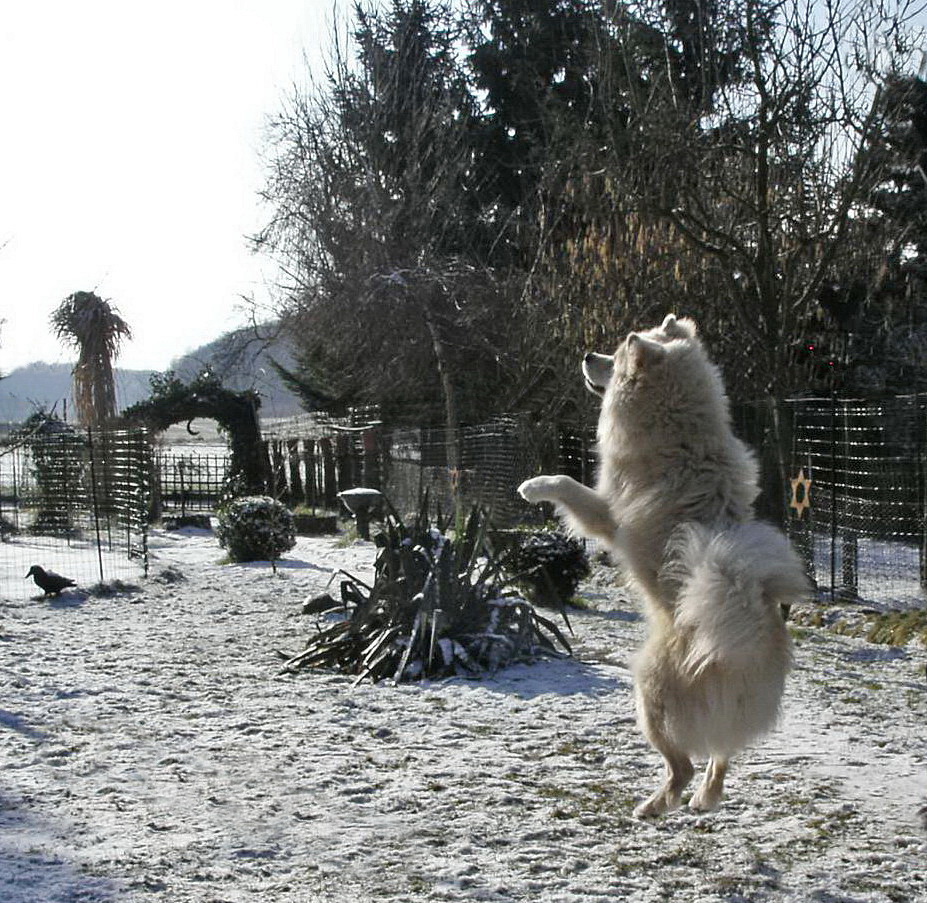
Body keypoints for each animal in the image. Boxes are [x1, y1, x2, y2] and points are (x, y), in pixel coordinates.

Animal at [520, 314, 808, 816]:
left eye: (615, 359)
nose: (587, 355)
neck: (681, 434)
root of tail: (748, 635)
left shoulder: (606, 511)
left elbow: (567, 483)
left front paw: (533, 487)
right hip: (717, 713)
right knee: (720, 756)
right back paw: (705, 800)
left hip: (647, 693)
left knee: (683, 764)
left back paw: (655, 805)